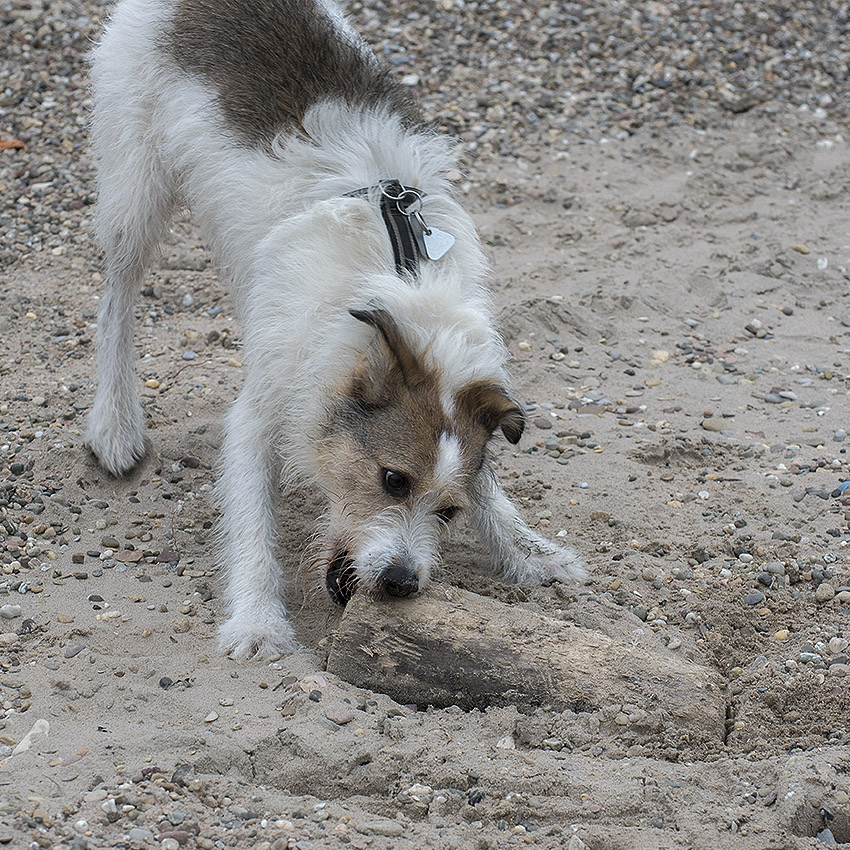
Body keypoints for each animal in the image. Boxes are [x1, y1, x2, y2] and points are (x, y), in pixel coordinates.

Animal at [88, 0, 584, 660]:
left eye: (450, 512)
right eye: (393, 480)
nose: (401, 582)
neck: (401, 280)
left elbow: (490, 489)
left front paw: (529, 551)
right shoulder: (264, 406)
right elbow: (251, 519)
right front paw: (257, 622)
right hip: (135, 186)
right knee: (117, 295)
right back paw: (115, 422)